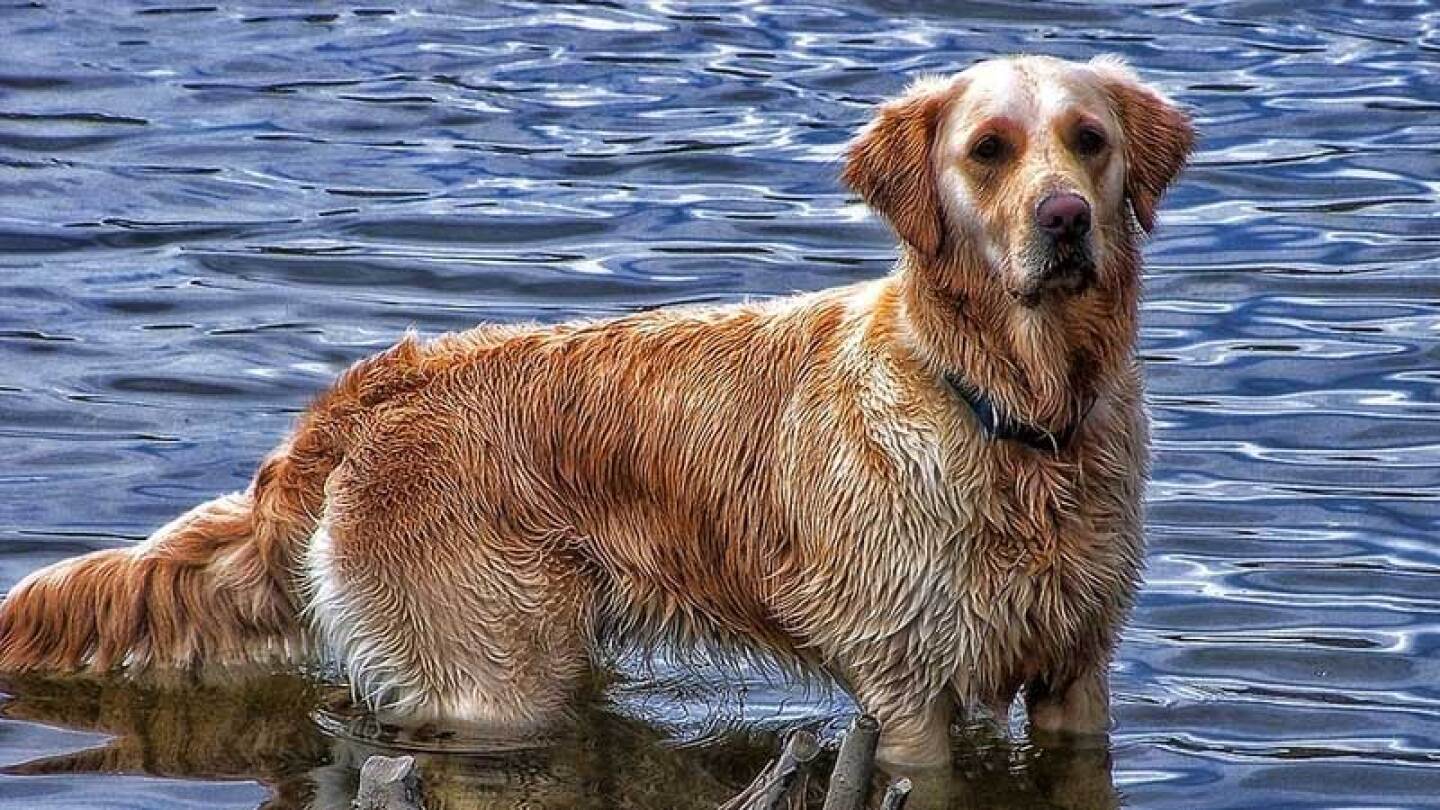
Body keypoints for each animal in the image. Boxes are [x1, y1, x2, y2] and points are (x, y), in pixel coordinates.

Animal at [2, 55, 1192, 760]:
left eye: (1088, 139)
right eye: (988, 149)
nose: (1066, 219)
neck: (1013, 412)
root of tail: (371, 389)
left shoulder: (1079, 673)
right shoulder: (909, 694)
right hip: (495, 676)